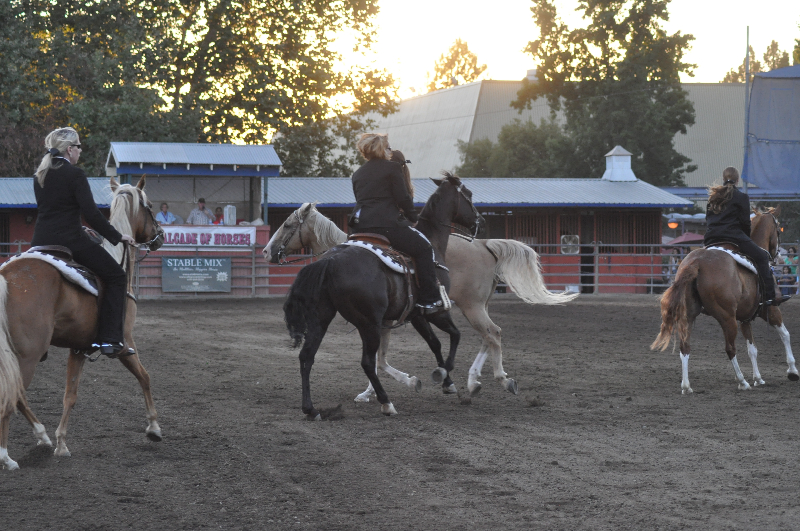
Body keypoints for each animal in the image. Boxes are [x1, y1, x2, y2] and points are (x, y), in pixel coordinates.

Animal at [0, 176, 164, 470]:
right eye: (150, 206)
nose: (161, 234)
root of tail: (7, 276)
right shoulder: (125, 343)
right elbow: (144, 376)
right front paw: (154, 428)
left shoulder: (78, 349)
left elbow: (70, 395)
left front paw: (61, 443)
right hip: (27, 356)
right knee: (12, 395)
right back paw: (6, 457)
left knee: (17, 396)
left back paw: (42, 436)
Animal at [266, 201, 577, 402]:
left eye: (287, 224)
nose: (268, 251)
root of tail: (484, 244)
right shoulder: (386, 322)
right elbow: (380, 359)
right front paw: (372, 391)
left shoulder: (382, 321)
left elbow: (379, 359)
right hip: (476, 306)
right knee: (489, 336)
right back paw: (474, 380)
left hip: (471, 306)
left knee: (492, 334)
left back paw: (499, 379)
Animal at [283, 173, 484, 419]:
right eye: (469, 195)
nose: (479, 220)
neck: (433, 244)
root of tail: (329, 260)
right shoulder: (436, 310)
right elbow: (455, 336)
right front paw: (444, 376)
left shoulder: (417, 315)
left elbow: (435, 343)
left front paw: (446, 382)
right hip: (368, 323)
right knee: (367, 362)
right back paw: (386, 402)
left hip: (322, 318)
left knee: (307, 356)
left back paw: (311, 408)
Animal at [651, 207, 798, 393]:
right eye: (778, 229)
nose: (777, 255)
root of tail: (697, 262)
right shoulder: (770, 310)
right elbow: (785, 334)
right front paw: (792, 371)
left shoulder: (745, 318)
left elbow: (752, 349)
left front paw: (758, 378)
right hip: (727, 318)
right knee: (730, 349)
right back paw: (742, 382)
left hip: (689, 316)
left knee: (685, 347)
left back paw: (686, 386)